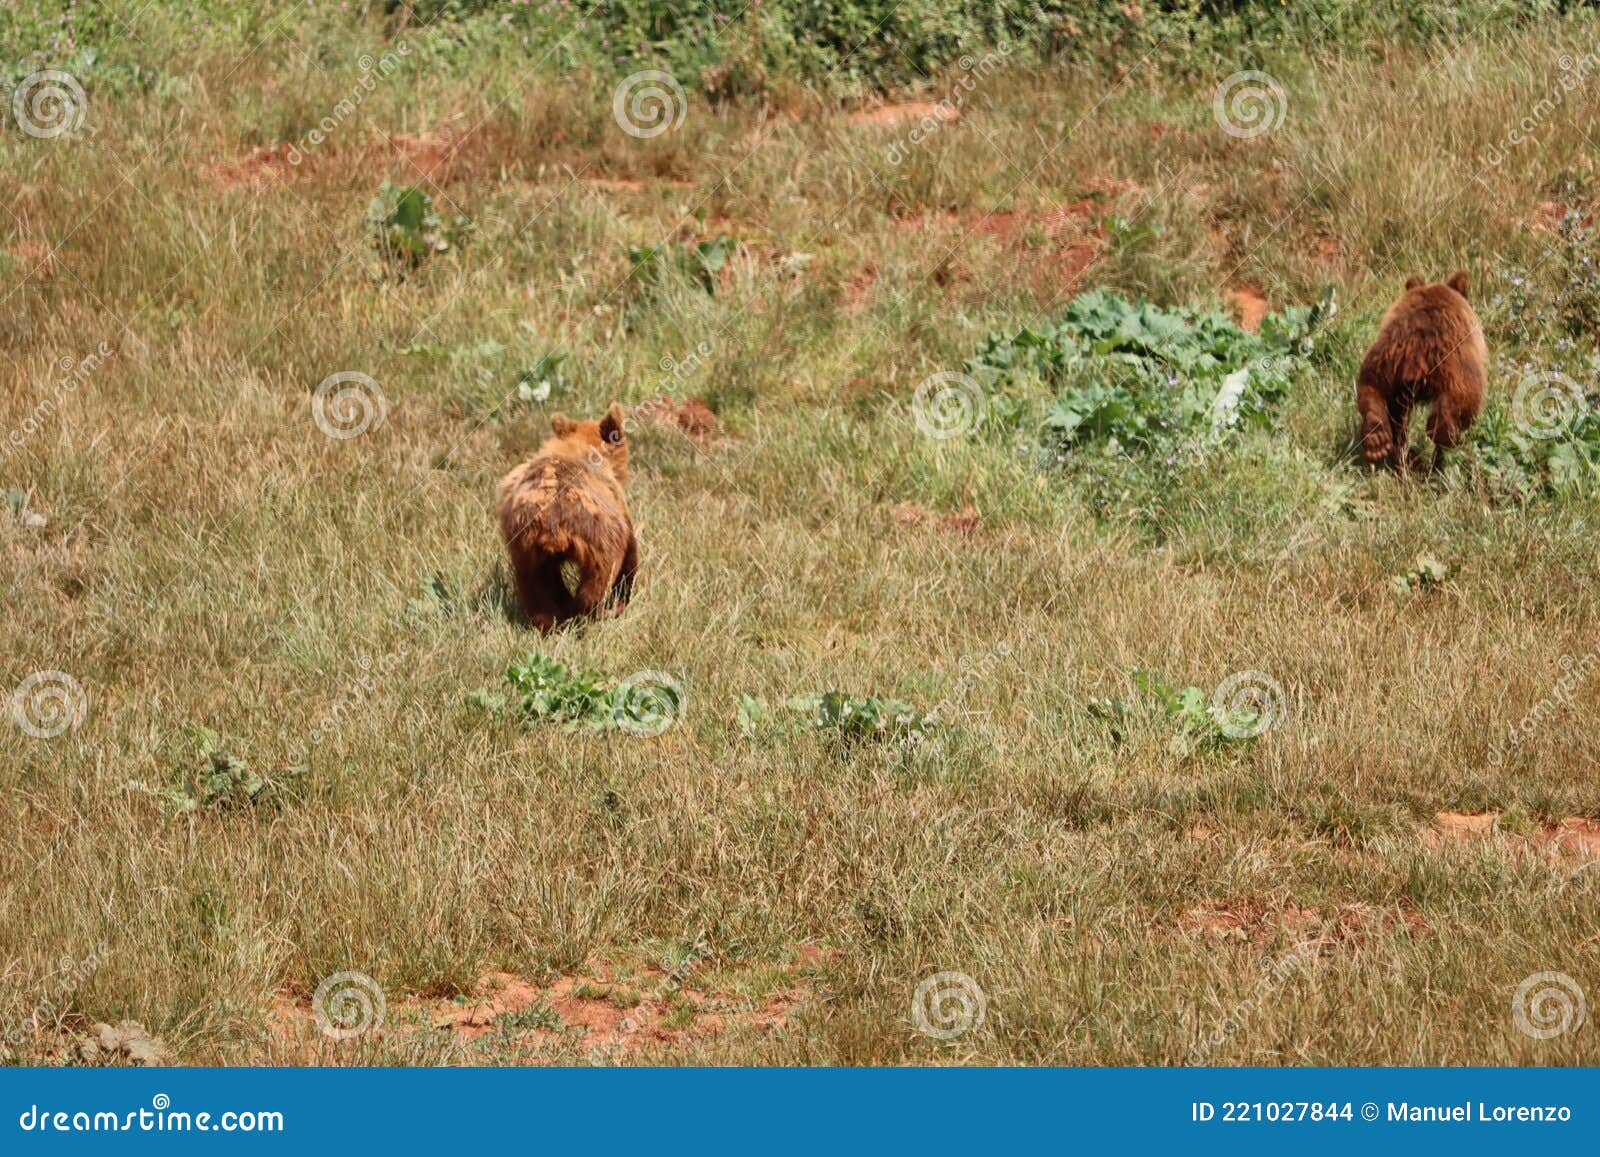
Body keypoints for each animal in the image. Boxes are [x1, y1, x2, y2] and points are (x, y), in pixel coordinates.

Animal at [496, 403, 633, 630]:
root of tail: (553, 525)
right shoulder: (618, 509)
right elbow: (630, 554)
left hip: (525, 546)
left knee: (536, 586)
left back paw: (551, 620)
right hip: (598, 536)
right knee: (598, 578)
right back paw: (595, 611)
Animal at [1363, 272, 1484, 473]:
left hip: (1382, 362)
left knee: (1373, 390)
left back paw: (1378, 442)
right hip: (1457, 368)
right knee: (1461, 402)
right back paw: (1441, 438)